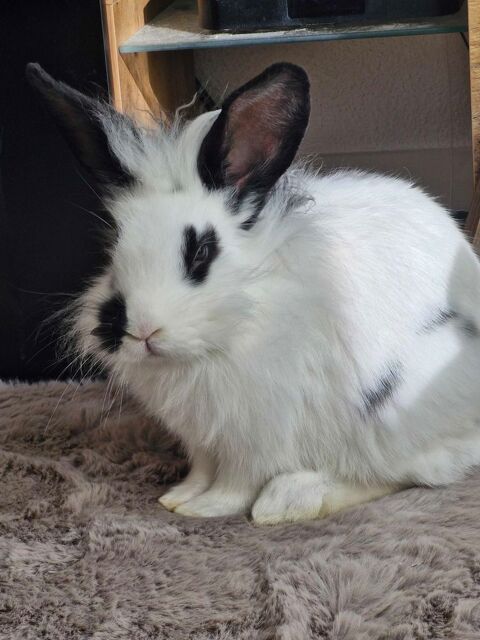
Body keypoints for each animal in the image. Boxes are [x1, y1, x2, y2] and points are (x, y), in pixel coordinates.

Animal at [26, 61, 480, 525]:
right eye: (113, 247)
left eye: (202, 252)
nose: (143, 332)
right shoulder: (203, 437)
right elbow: (202, 468)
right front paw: (178, 497)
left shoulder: (258, 433)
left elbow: (238, 482)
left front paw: (204, 508)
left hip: (395, 413)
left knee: (413, 472)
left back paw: (289, 501)